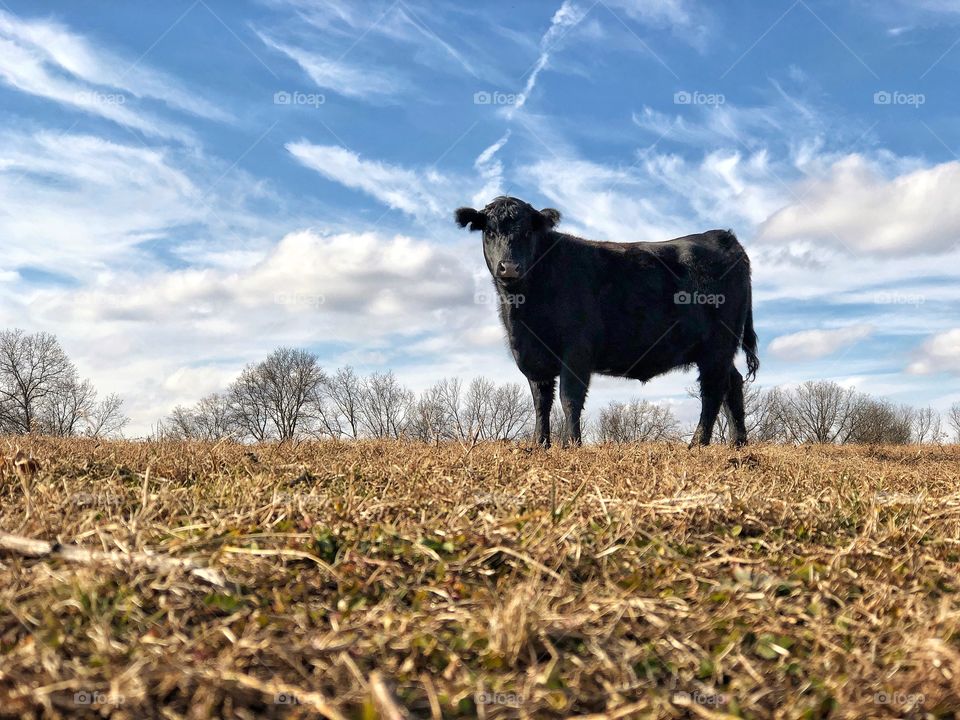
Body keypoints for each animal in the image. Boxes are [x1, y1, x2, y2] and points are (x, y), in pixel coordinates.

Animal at [454, 194, 760, 448]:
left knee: (713, 390)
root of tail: (723, 236)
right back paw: (737, 443)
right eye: (490, 232)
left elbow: (569, 398)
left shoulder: (577, 349)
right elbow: (541, 401)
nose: (510, 267)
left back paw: (698, 444)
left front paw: (571, 445)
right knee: (732, 384)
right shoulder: (533, 355)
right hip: (717, 349)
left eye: (528, 232)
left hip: (718, 345)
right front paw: (540, 445)